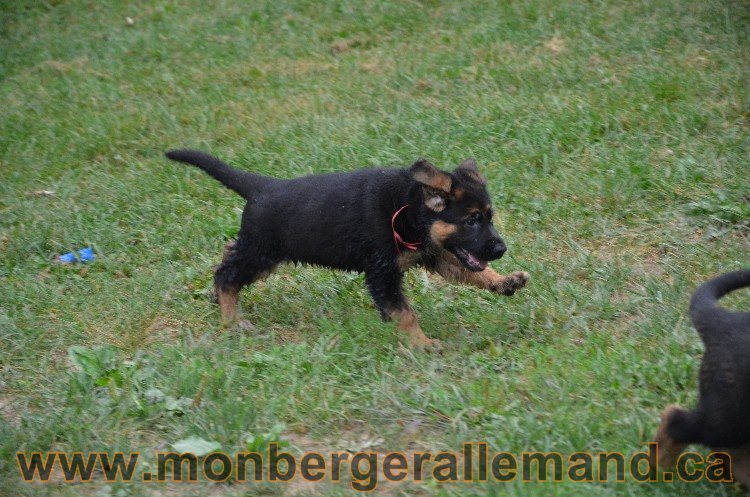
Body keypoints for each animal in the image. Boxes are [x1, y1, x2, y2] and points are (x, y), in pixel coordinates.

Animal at [166, 151, 528, 348]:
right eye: (472, 220)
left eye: (489, 218)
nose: (501, 248)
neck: (409, 208)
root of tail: (263, 186)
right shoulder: (382, 273)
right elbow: (404, 313)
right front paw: (422, 344)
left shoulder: (436, 254)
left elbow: (473, 271)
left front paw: (504, 281)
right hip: (261, 251)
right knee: (227, 274)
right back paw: (231, 319)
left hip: (257, 250)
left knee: (228, 253)